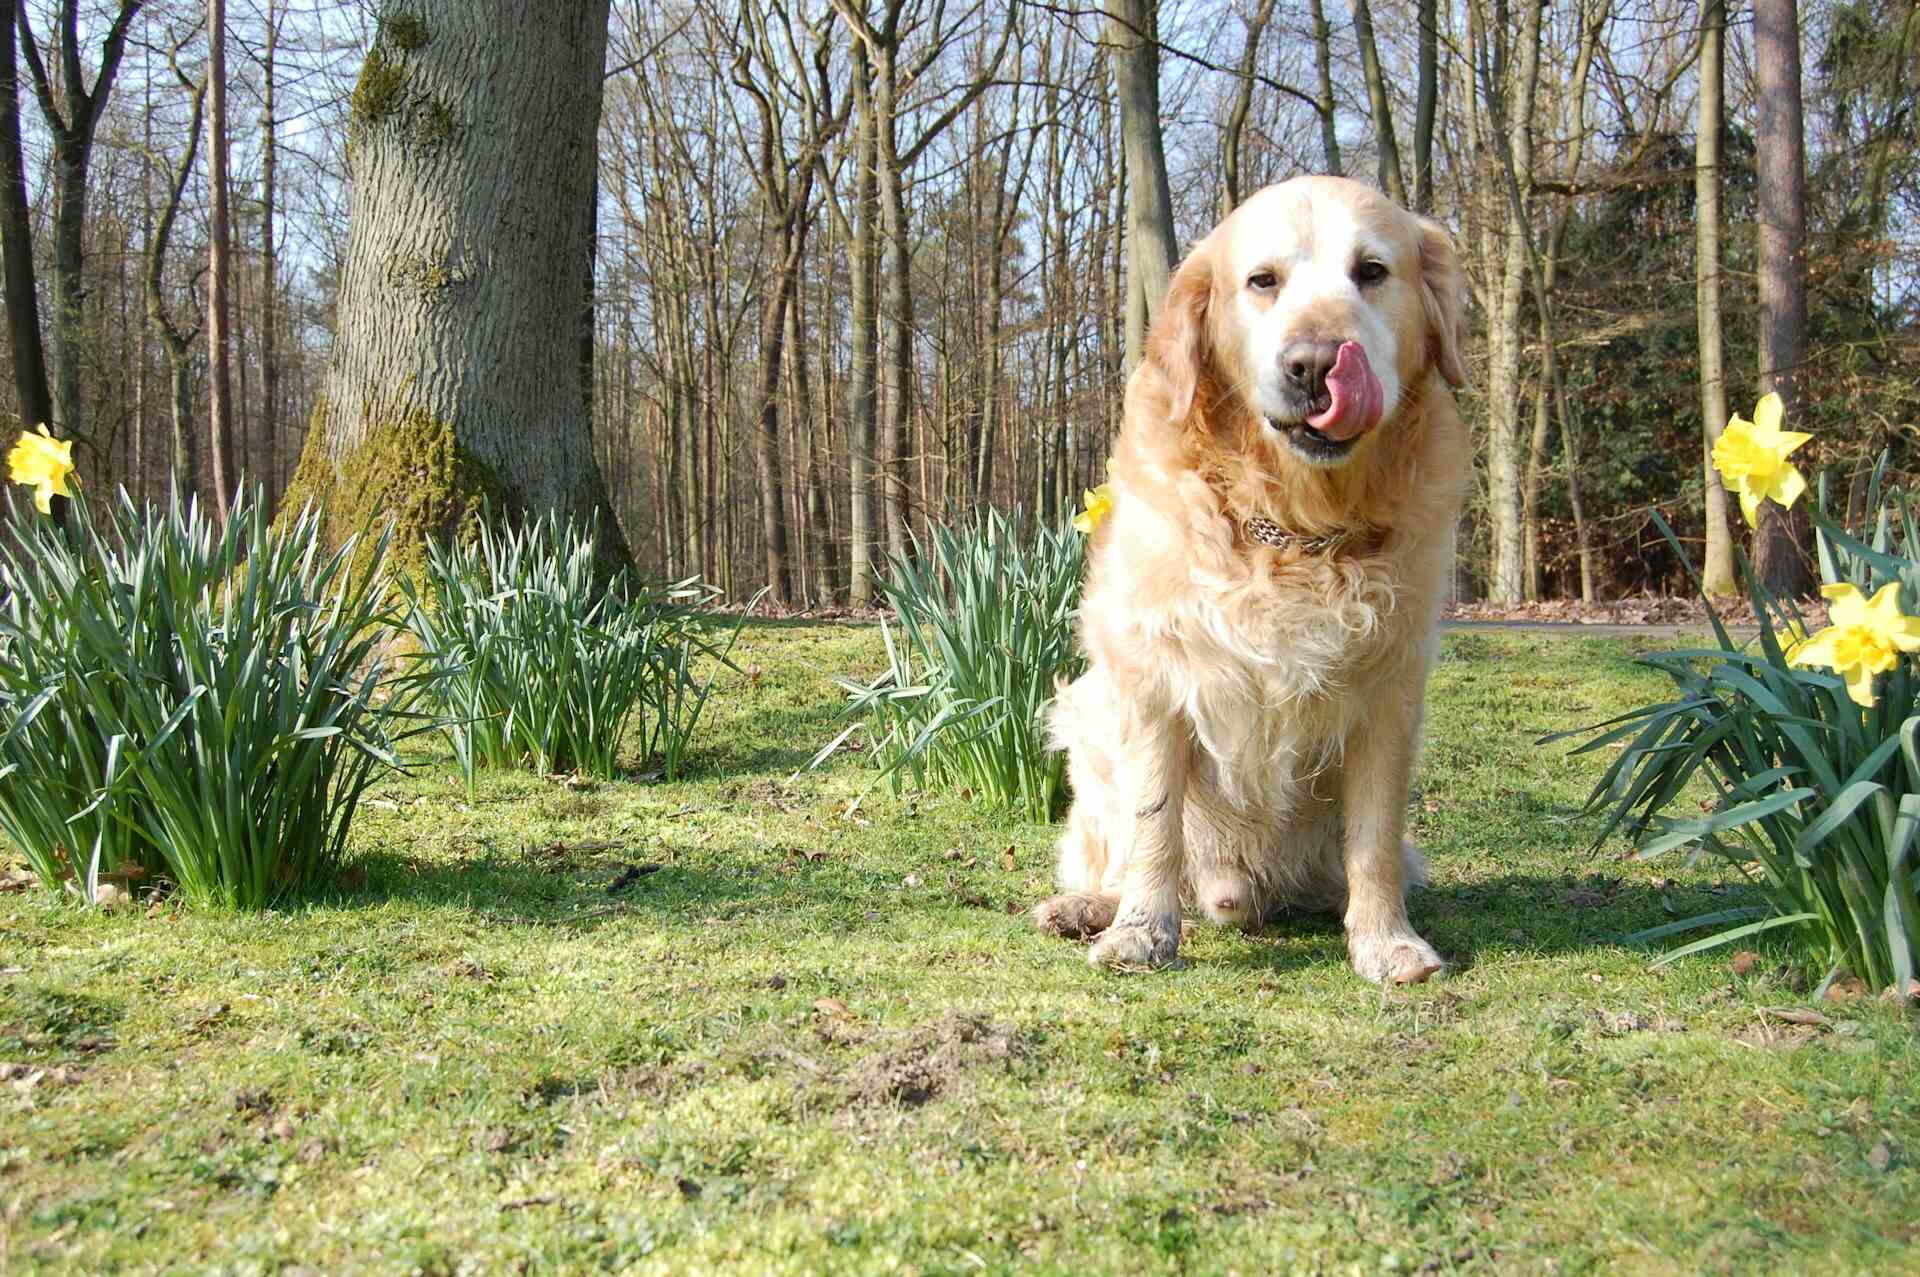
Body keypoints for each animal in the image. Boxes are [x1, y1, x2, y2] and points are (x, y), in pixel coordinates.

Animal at [1036, 174, 1466, 979]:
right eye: (1263, 281)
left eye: (1372, 271)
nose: (1315, 363)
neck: (1296, 529)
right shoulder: (1153, 676)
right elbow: (1154, 823)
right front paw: (1141, 931)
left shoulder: (1390, 689)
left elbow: (1373, 839)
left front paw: (1385, 938)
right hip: (1084, 720)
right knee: (1115, 849)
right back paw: (1087, 907)